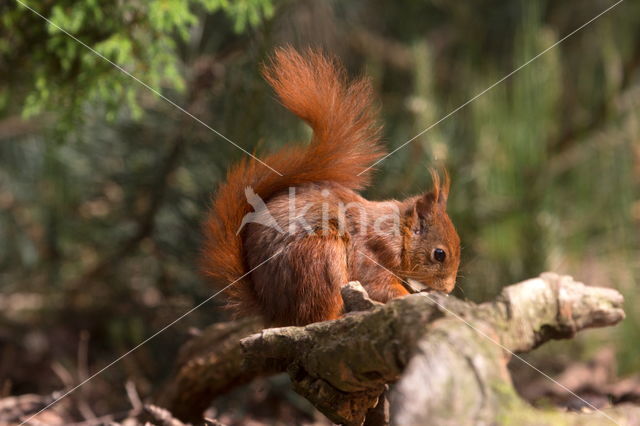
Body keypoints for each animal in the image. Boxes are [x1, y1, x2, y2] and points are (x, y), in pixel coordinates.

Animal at [202, 47, 458, 326]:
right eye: (439, 254)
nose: (448, 289)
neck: (397, 232)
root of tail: (276, 312)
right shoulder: (372, 252)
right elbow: (379, 285)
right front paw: (411, 297)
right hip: (321, 258)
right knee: (318, 313)